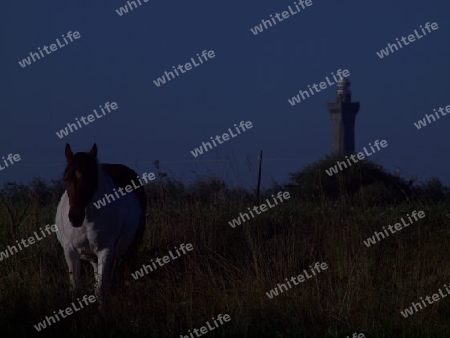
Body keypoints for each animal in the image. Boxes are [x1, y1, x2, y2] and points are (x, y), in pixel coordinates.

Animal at [54, 144, 146, 308]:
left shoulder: (105, 250)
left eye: (90, 178)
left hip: (130, 249)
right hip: (94, 258)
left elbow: (100, 289)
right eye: (66, 178)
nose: (75, 217)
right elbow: (75, 287)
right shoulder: (70, 251)